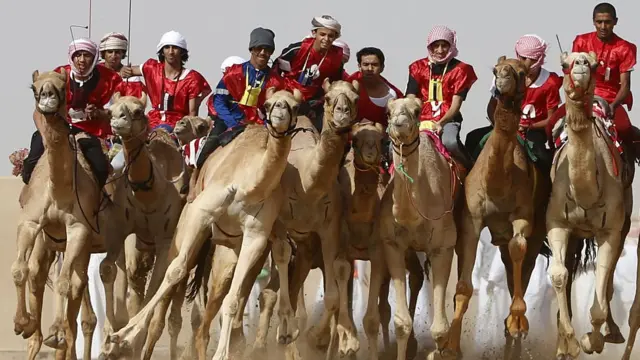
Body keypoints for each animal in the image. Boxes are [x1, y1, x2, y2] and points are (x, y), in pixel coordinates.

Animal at [12, 69, 126, 360]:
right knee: (39, 275)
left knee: (87, 282)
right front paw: (21, 323)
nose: (47, 97)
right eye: (34, 88)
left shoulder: (79, 229)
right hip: (51, 244)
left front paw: (57, 332)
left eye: (63, 88)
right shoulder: (30, 223)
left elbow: (66, 284)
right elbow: (20, 270)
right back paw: (37, 331)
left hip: (98, 243)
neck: (58, 192)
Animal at [102, 87, 304, 360]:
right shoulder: (201, 212)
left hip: (237, 242)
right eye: (268, 104)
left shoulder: (256, 234)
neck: (249, 185)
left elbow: (233, 299)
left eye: (295, 106)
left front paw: (223, 354)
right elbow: (175, 271)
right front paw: (125, 333)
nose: (280, 114)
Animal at [372, 96, 458, 360]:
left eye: (417, 110)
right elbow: (402, 322)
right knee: (418, 277)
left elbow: (440, 328)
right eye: (388, 112)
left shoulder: (443, 248)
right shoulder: (392, 245)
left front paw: (439, 352)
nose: (400, 124)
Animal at [444, 55, 552, 358]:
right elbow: (463, 287)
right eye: (495, 70)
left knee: (523, 268)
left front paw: (517, 322)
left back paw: (515, 329)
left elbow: (519, 252)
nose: (502, 80)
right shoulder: (471, 219)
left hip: (538, 231)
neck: (498, 181)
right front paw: (450, 346)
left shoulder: (522, 218)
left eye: (522, 72)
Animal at [544, 52, 632, 360]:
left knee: (610, 278)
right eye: (564, 64)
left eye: (594, 65)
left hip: (625, 224)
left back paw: (612, 332)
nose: (581, 64)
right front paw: (568, 343)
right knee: (569, 271)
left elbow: (602, 286)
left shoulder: (610, 231)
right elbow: (559, 276)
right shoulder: (557, 224)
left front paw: (590, 341)